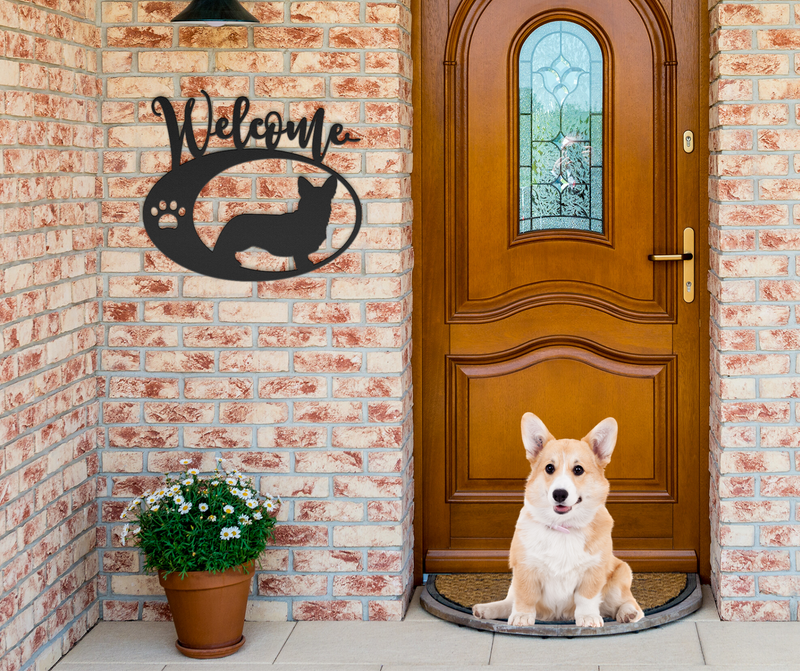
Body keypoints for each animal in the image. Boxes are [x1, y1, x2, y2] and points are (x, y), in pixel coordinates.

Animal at [476, 414, 644, 632]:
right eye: (549, 468)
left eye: (578, 469)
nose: (559, 494)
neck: (563, 527)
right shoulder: (525, 569)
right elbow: (525, 597)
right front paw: (522, 617)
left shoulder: (593, 571)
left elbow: (586, 598)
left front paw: (588, 618)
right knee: (508, 602)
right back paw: (485, 610)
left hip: (619, 576)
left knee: (628, 603)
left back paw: (628, 613)